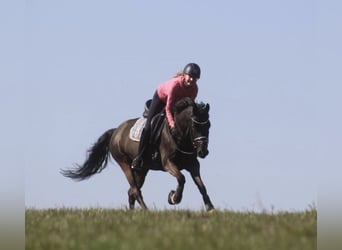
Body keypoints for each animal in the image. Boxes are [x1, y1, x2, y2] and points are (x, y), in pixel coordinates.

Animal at [60, 97, 214, 211]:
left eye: (208, 125)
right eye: (194, 125)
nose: (203, 152)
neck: (180, 136)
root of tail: (116, 131)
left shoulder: (193, 165)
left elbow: (201, 186)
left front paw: (210, 208)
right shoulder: (168, 163)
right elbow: (181, 178)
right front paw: (174, 197)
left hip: (142, 169)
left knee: (132, 191)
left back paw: (133, 213)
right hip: (125, 163)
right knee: (135, 190)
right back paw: (147, 211)